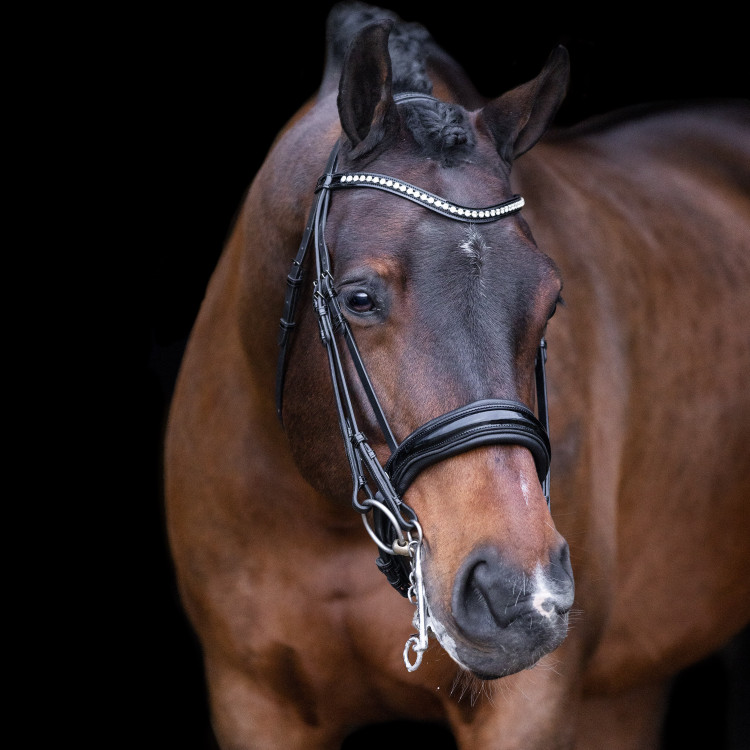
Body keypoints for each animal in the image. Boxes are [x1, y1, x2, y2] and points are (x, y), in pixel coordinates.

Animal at [166, 2, 750, 748]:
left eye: (551, 299)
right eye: (359, 299)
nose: (522, 595)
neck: (323, 519)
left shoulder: (527, 704)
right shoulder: (251, 700)